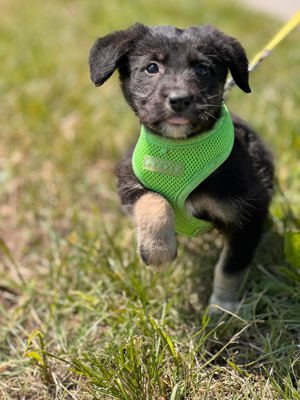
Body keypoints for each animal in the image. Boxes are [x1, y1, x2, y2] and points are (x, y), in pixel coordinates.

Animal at [89, 24, 274, 312]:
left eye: (202, 69)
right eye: (151, 68)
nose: (179, 100)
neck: (181, 148)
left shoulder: (250, 212)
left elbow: (230, 267)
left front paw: (222, 308)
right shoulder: (129, 181)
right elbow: (154, 202)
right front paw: (158, 252)